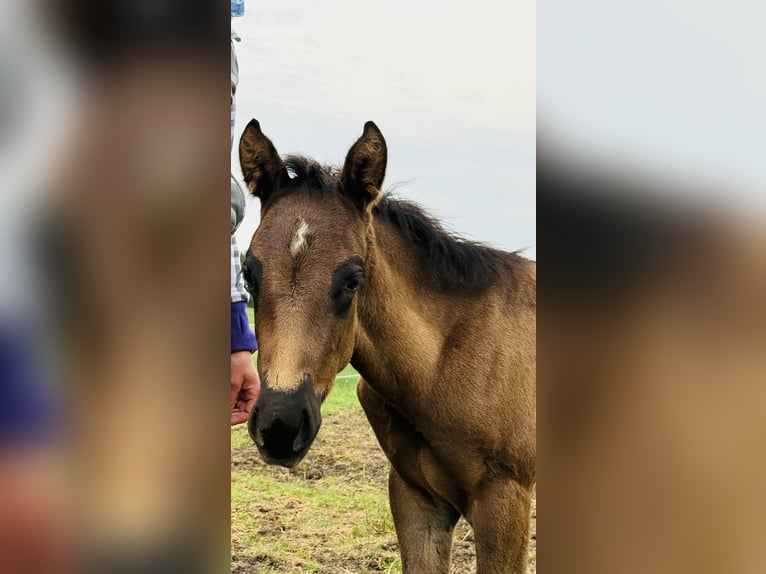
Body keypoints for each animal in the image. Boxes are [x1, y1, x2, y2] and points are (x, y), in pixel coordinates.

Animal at [239, 119, 536, 573]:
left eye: (353, 279)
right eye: (248, 274)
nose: (280, 424)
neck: (441, 365)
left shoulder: (506, 502)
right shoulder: (416, 500)